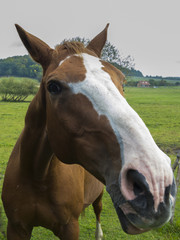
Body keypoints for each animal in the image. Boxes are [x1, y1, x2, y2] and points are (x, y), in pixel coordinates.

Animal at [1, 23, 176, 240]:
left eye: (122, 80)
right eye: (53, 86)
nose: (156, 181)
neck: (37, 177)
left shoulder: (69, 227)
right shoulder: (16, 227)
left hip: (99, 195)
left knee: (98, 210)